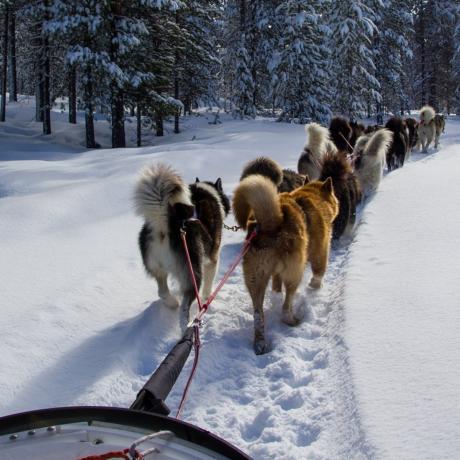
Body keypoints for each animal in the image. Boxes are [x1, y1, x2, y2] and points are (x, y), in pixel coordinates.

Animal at [234, 174, 310, 354]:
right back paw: (292, 320)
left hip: (255, 279)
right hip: (295, 272)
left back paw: (260, 342)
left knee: (258, 314)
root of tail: (271, 224)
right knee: (287, 303)